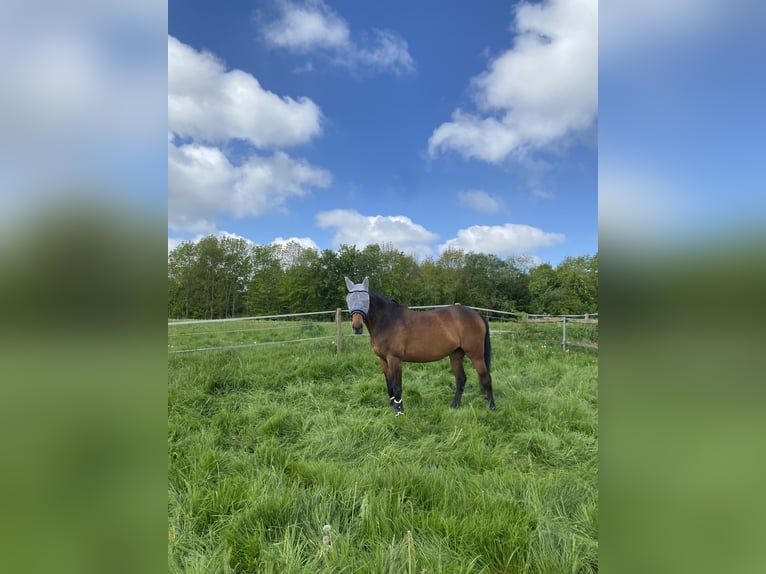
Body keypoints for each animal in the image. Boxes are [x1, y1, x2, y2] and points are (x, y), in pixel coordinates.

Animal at [344, 276, 498, 416]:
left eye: (365, 300)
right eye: (348, 300)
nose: (357, 327)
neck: (388, 320)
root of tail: (478, 315)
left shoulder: (395, 359)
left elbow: (397, 387)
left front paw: (399, 412)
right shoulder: (383, 360)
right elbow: (389, 386)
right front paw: (392, 407)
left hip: (476, 355)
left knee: (486, 378)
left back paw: (492, 407)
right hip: (456, 354)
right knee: (461, 379)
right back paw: (454, 405)